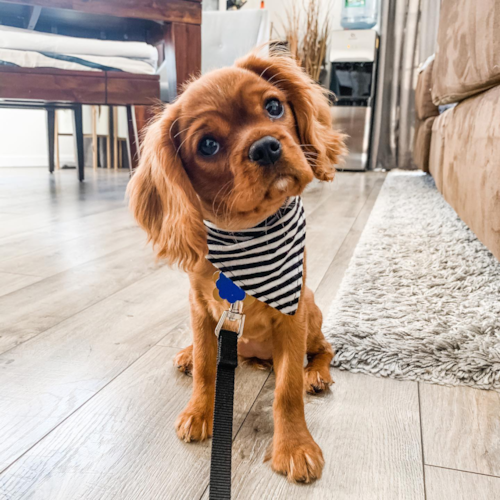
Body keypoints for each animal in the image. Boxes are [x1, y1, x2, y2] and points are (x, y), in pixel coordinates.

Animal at [128, 51, 344, 484]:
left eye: (274, 107)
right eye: (208, 145)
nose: (265, 148)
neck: (246, 235)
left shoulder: (292, 317)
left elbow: (287, 389)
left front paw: (294, 446)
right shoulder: (199, 309)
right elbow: (206, 370)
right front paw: (199, 410)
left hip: (311, 311)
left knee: (324, 349)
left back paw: (316, 374)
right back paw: (189, 353)